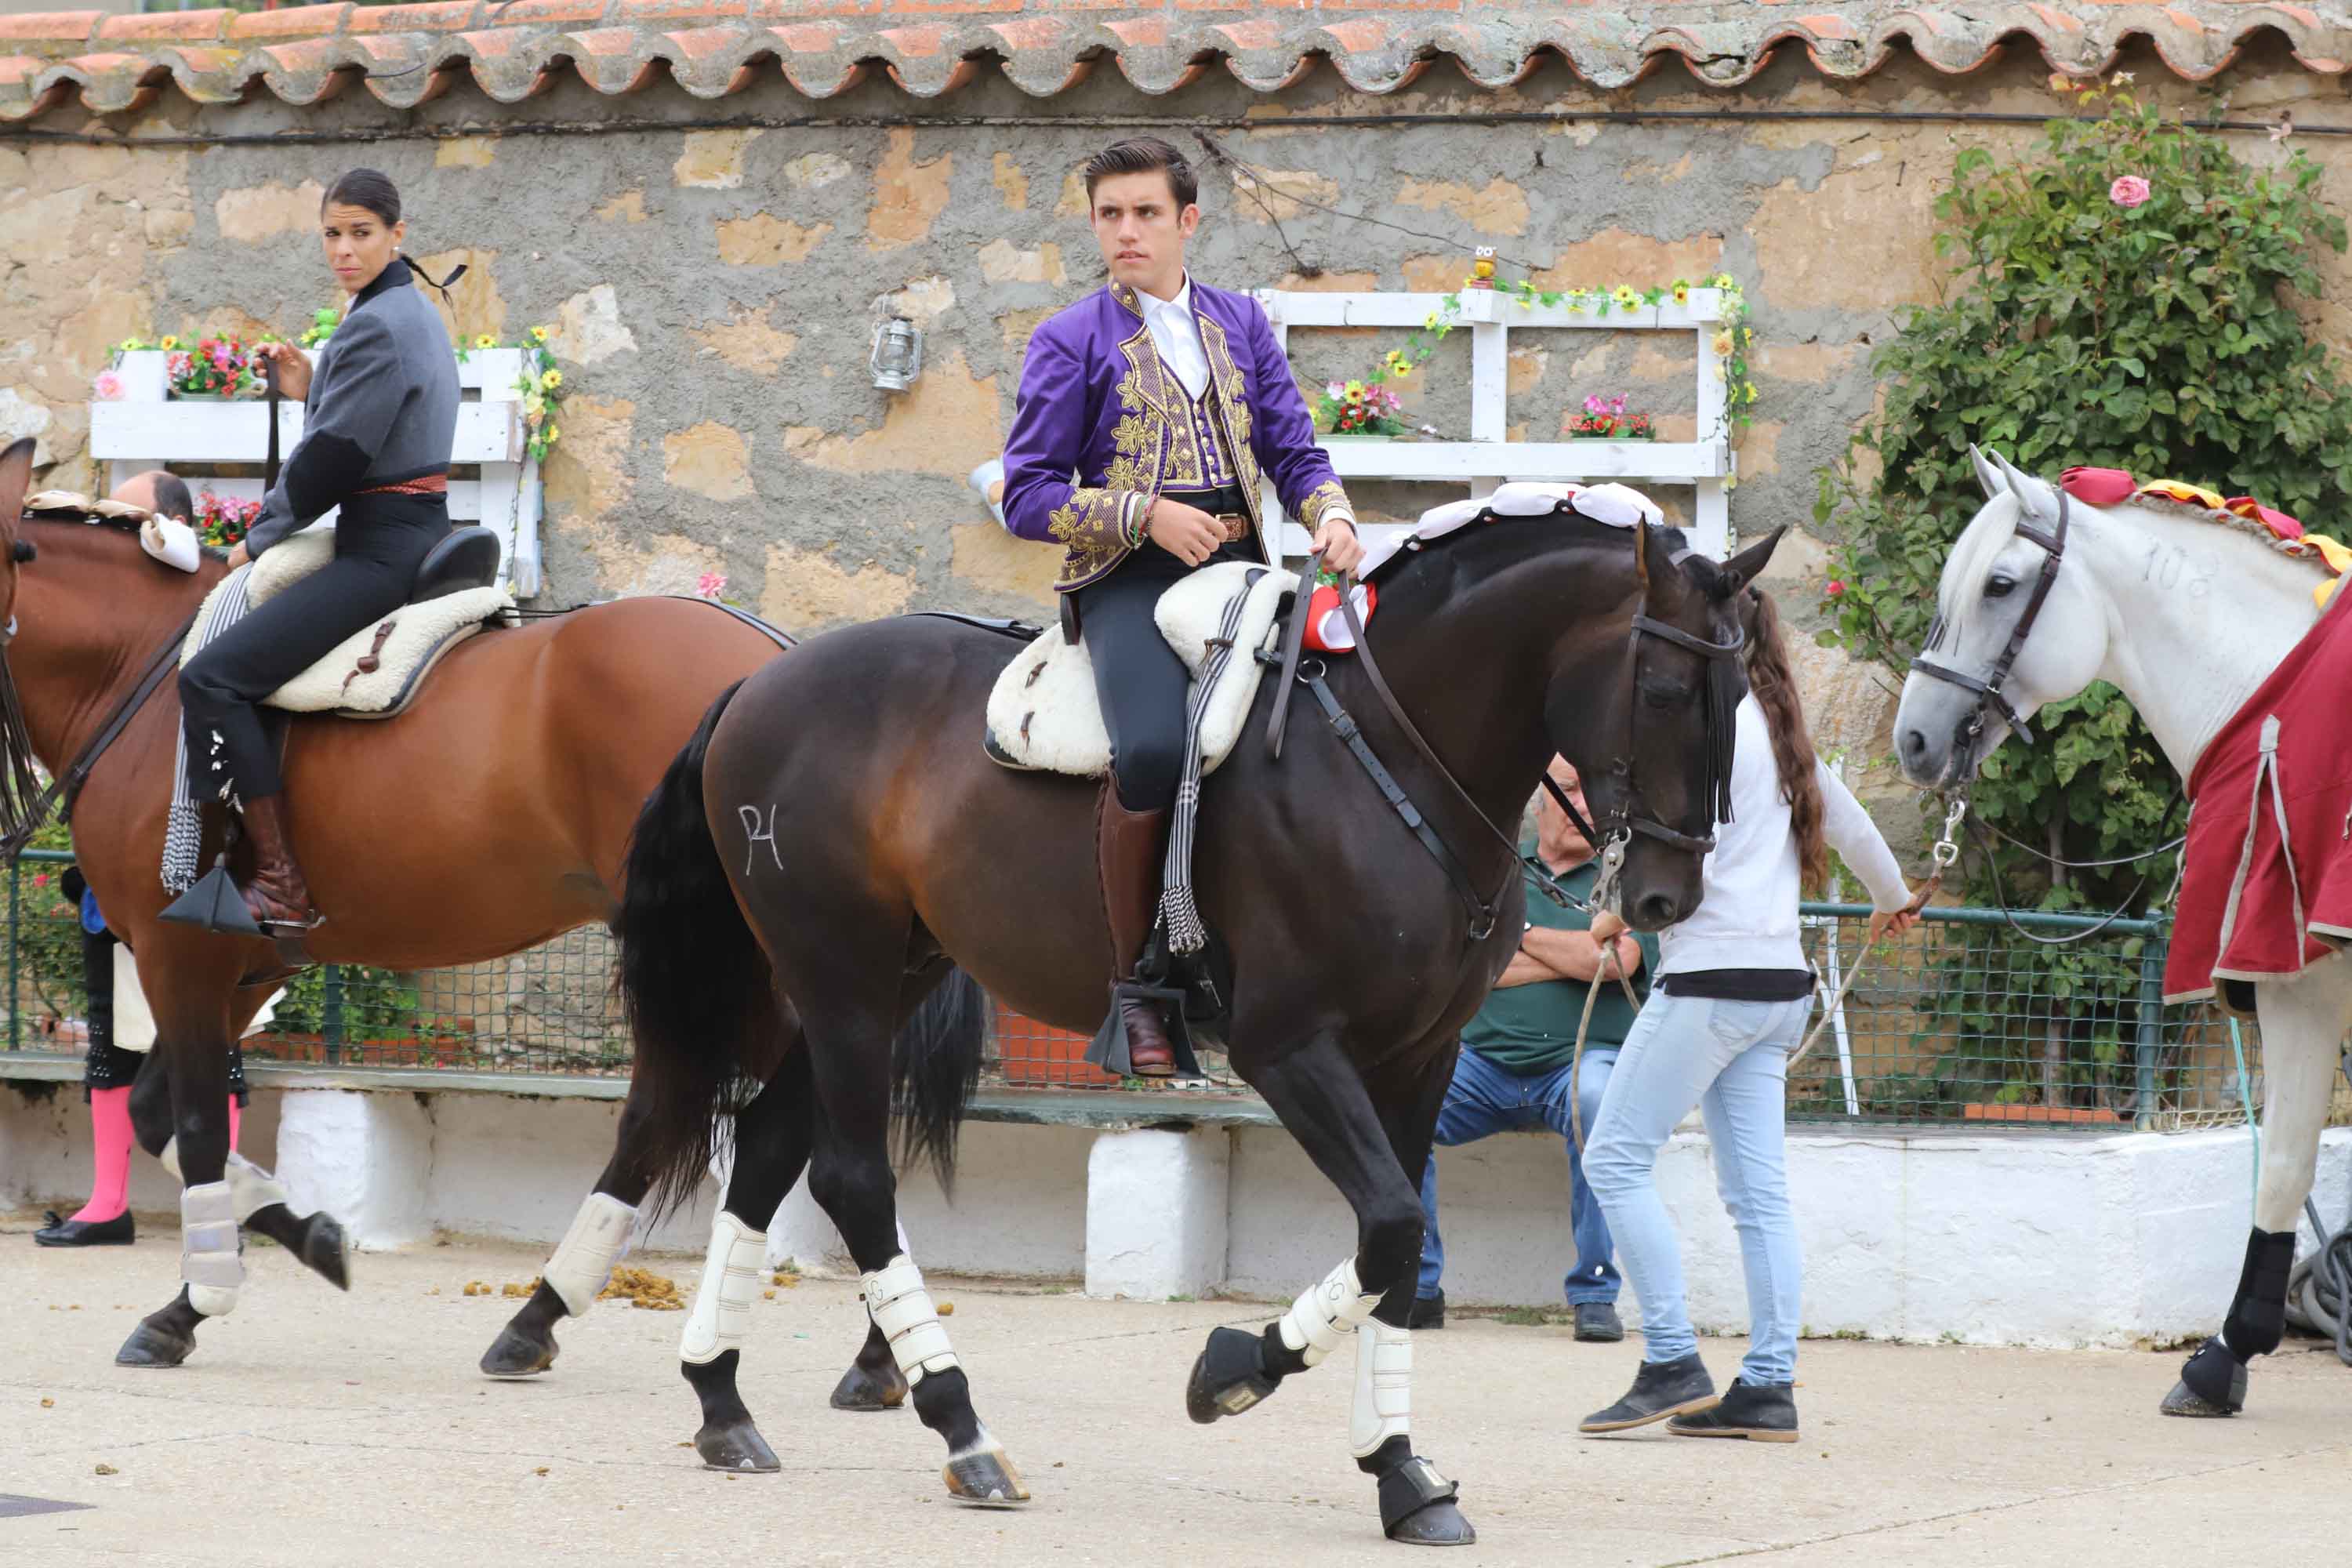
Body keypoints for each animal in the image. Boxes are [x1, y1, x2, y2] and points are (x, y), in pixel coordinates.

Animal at [0, 444, 800, 1373]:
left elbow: (193, 1123)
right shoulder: (238, 970)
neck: (135, 673)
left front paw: (191, 1303)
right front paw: (306, 1239)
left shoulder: (179, 958)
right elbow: (158, 1114)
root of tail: (780, 659)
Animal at [607, 514, 1778, 1542]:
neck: (1390, 758)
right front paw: (1234, 1373)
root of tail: (764, 679)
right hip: (842, 980)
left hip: (882, 981)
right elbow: (1392, 1226)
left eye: (1738, 696)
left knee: (768, 1148)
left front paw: (1401, 1475)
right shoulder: (1290, 1048)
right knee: (850, 1179)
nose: (1669, 897)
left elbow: (1397, 1251)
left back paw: (722, 1401)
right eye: (1666, 689)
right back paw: (961, 1427)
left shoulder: (1418, 1057)